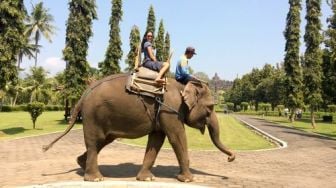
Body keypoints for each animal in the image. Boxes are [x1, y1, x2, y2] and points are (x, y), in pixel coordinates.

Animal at [43, 73, 235, 182]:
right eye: (210, 107)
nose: (230, 158)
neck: (183, 84)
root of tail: (84, 94)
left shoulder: (162, 113)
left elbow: (157, 140)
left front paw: (146, 179)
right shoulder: (169, 109)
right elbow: (177, 137)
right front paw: (188, 179)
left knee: (102, 141)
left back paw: (82, 165)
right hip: (93, 115)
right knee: (95, 141)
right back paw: (95, 179)